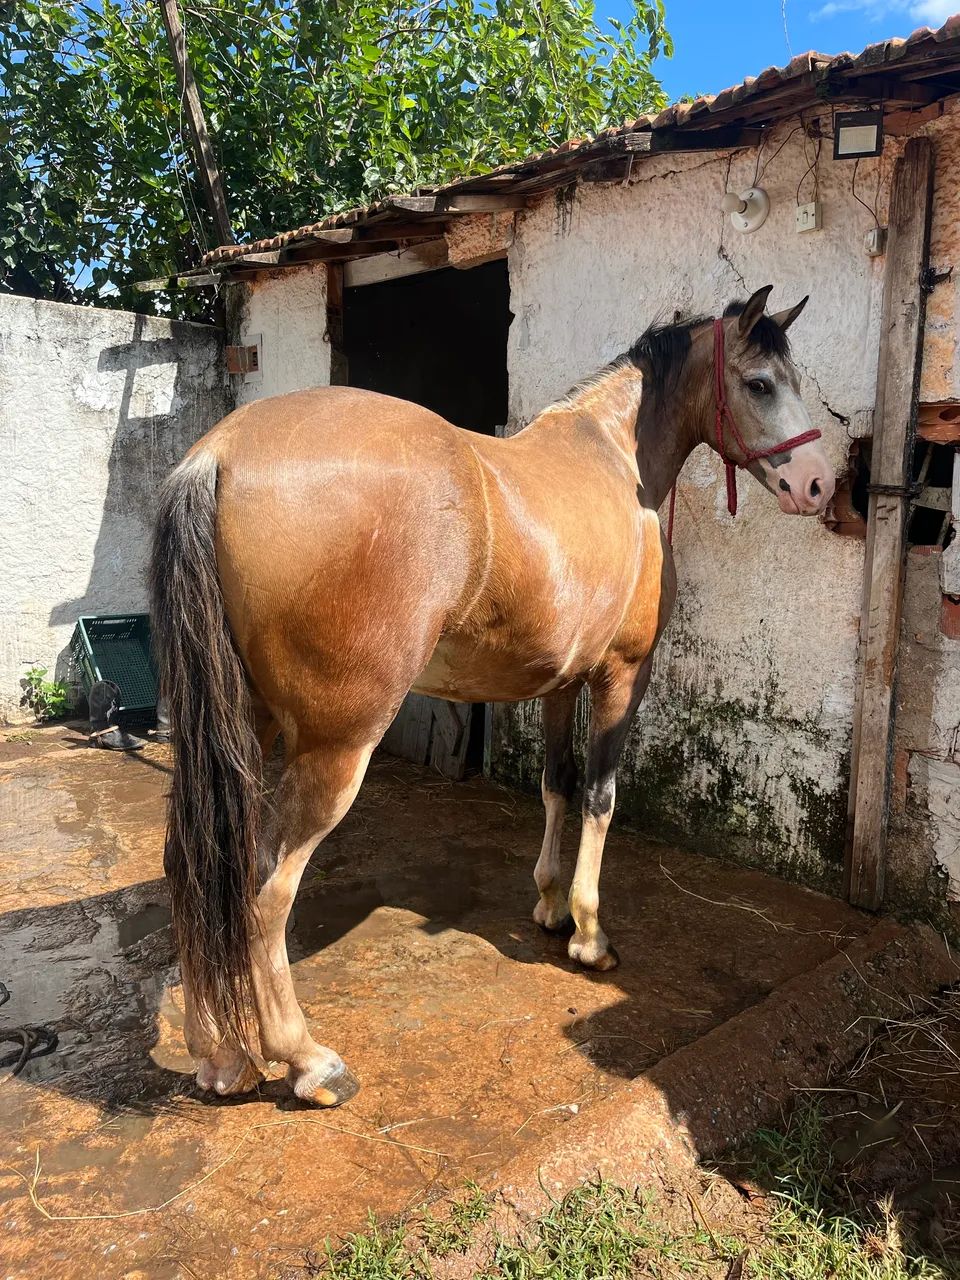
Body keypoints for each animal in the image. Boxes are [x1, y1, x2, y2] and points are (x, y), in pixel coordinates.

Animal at [150, 284, 835, 1107]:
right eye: (759, 383)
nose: (820, 485)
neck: (617, 460)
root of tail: (219, 454)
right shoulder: (620, 676)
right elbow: (600, 796)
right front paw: (589, 935)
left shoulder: (560, 683)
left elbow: (556, 785)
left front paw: (548, 904)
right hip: (335, 748)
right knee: (263, 889)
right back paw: (308, 1061)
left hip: (241, 729)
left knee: (194, 865)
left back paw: (219, 1057)